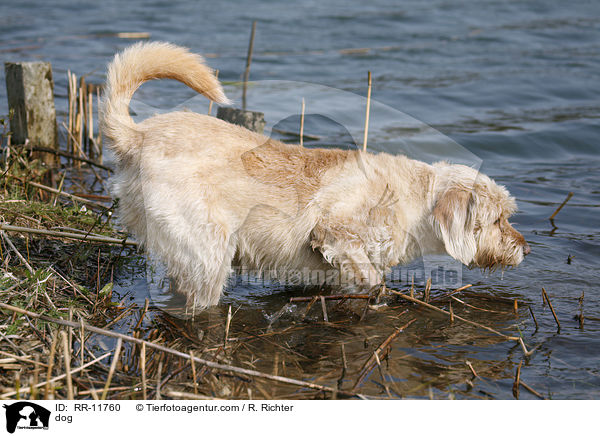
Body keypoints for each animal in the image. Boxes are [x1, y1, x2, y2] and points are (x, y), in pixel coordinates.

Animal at [102, 40, 528, 306]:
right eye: (498, 219)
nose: (525, 247)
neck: (413, 201)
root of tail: (136, 136)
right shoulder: (334, 233)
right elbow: (369, 276)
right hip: (208, 255)